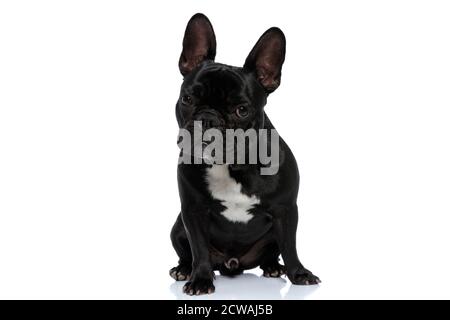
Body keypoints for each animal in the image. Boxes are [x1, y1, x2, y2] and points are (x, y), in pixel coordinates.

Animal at [170, 13, 320, 296]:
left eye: (242, 110)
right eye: (187, 99)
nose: (207, 120)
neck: (231, 164)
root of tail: (232, 264)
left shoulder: (285, 210)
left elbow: (290, 247)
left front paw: (299, 273)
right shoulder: (192, 212)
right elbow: (199, 249)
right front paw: (200, 279)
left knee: (275, 251)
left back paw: (274, 268)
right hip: (177, 228)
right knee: (187, 253)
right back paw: (184, 270)